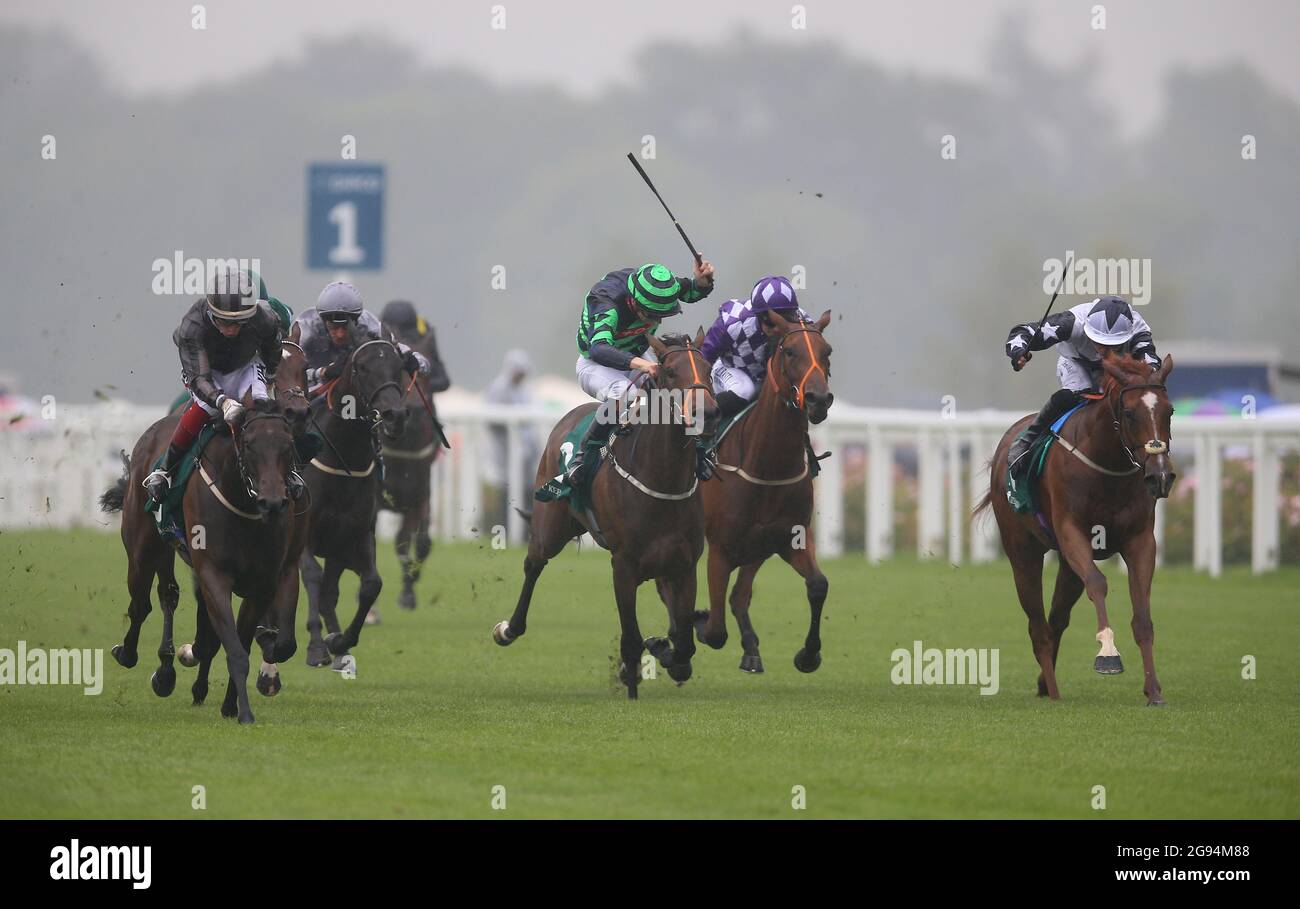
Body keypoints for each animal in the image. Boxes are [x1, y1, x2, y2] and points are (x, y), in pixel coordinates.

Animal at [493, 330, 728, 702]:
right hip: (550, 527)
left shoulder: (684, 564)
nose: (707, 413)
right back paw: (509, 628)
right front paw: (631, 685)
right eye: (670, 371)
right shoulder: (623, 565)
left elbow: (684, 641)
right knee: (533, 565)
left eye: (708, 369)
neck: (660, 479)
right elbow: (631, 640)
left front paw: (665, 651)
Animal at [696, 313, 837, 676]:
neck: (766, 467)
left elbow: (818, 585)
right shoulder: (720, 549)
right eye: (789, 351)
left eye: (827, 351)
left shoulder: (790, 537)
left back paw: (751, 649)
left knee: (739, 595)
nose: (818, 399)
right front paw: (699, 622)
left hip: (758, 547)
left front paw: (808, 655)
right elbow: (714, 630)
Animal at [982, 351, 1180, 707]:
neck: (1108, 467)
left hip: (1066, 564)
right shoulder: (1072, 533)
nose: (1160, 475)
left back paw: (1044, 682)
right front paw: (1108, 654)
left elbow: (1142, 614)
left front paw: (1154, 690)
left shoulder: (1140, 540)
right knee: (1038, 625)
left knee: (1056, 618)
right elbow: (1098, 584)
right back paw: (1053, 689)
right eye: (1129, 414)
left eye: (1169, 411)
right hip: (1023, 552)